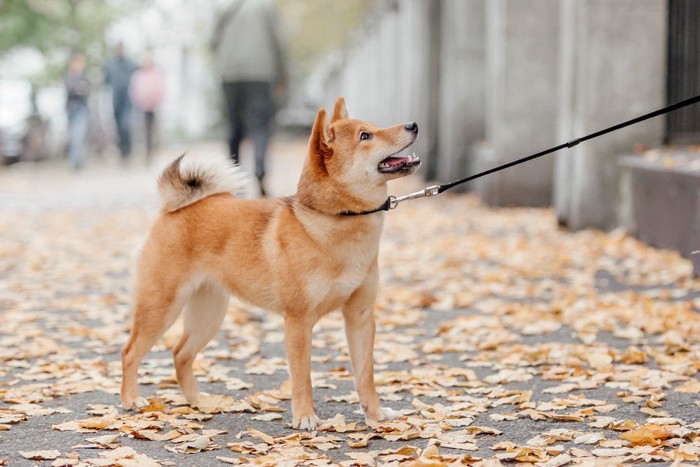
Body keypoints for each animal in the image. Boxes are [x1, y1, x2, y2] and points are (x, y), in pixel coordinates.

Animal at [119, 98, 422, 432]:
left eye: (374, 127)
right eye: (365, 136)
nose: (413, 125)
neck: (337, 221)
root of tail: (174, 210)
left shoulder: (360, 316)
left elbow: (365, 375)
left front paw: (376, 414)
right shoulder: (298, 322)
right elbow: (302, 377)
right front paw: (305, 416)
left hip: (209, 314)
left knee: (180, 354)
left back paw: (199, 401)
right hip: (161, 308)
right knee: (130, 352)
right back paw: (131, 400)